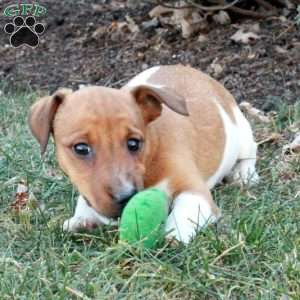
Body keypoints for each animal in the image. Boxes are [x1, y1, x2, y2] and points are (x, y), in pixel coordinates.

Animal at [28, 65, 258, 244]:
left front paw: (174, 234)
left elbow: (185, 210)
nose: (126, 197)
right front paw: (81, 219)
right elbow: (84, 201)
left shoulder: (195, 191)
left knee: (250, 153)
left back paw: (244, 174)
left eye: (133, 143)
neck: (151, 154)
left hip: (243, 133)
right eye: (81, 149)